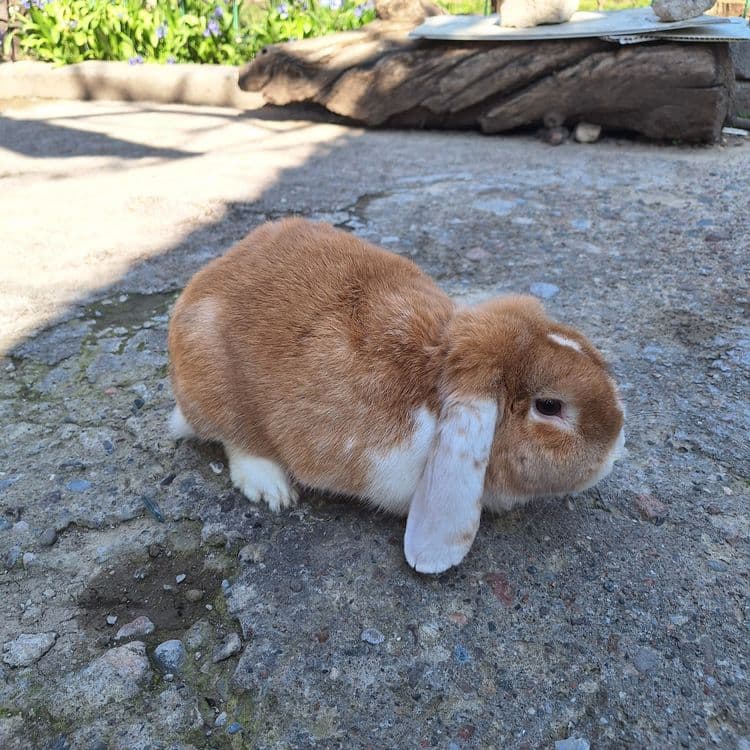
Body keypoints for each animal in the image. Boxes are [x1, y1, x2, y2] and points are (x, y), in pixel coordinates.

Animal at [168, 218, 625, 574]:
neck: (438, 372)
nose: (617, 447)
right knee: (233, 438)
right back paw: (272, 489)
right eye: (549, 407)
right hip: (215, 386)